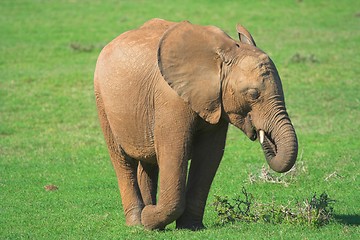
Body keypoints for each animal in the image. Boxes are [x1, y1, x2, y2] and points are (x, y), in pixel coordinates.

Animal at [93, 18, 298, 231]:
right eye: (253, 94)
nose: (262, 135)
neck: (223, 53)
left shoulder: (216, 101)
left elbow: (209, 155)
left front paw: (190, 227)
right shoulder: (171, 98)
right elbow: (174, 151)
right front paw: (149, 218)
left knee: (148, 163)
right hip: (102, 100)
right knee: (122, 160)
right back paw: (136, 222)